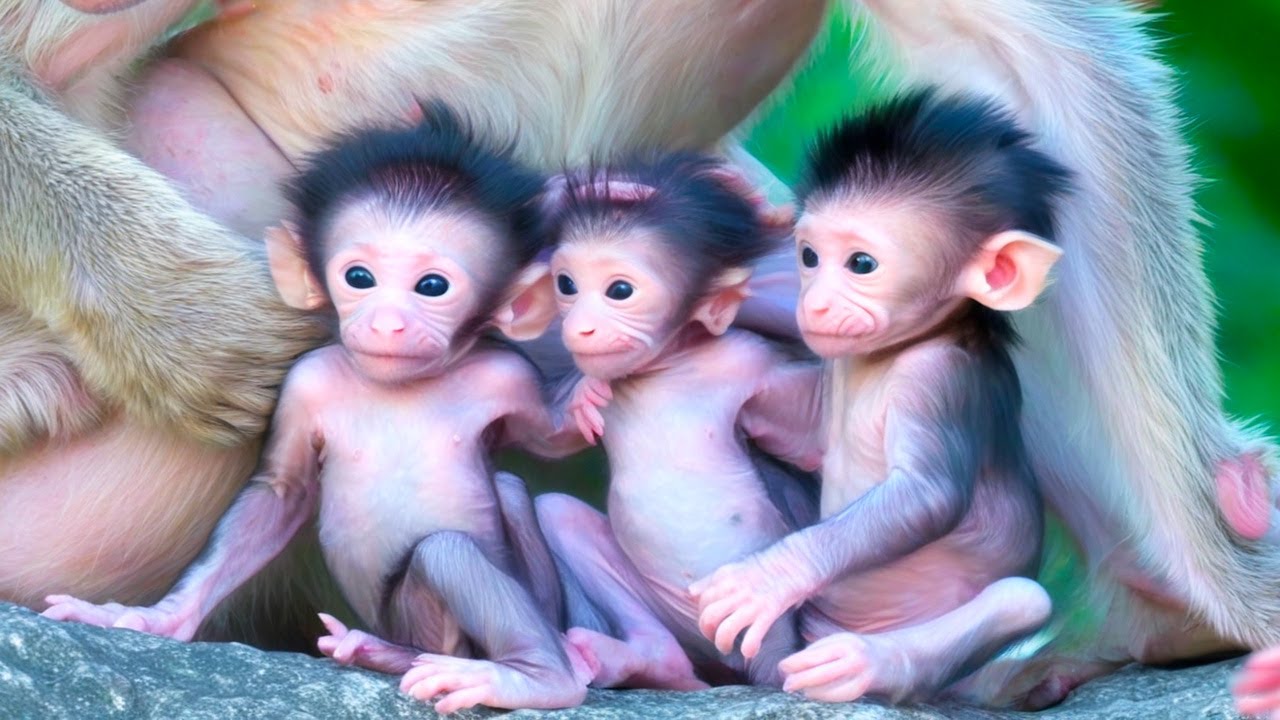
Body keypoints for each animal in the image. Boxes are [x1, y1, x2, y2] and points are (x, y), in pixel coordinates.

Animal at [42, 104, 594, 714]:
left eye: (431, 286)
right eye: (359, 278)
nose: (386, 323)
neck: (400, 385)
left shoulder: (508, 375)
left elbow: (546, 438)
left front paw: (587, 399)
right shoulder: (303, 383)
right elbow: (281, 492)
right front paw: (154, 618)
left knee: (468, 531)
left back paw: (541, 676)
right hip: (418, 626)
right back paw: (389, 654)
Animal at [530, 154, 825, 690]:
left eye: (619, 290)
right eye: (566, 285)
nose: (579, 326)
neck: (668, 367)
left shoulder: (755, 361)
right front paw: (582, 396)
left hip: (758, 627)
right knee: (560, 512)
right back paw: (654, 662)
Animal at [690, 89, 1066, 704]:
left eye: (861, 264)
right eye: (809, 257)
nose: (814, 304)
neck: (898, 349)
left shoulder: (937, 380)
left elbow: (926, 494)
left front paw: (764, 580)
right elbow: (803, 434)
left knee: (1021, 600)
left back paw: (864, 664)